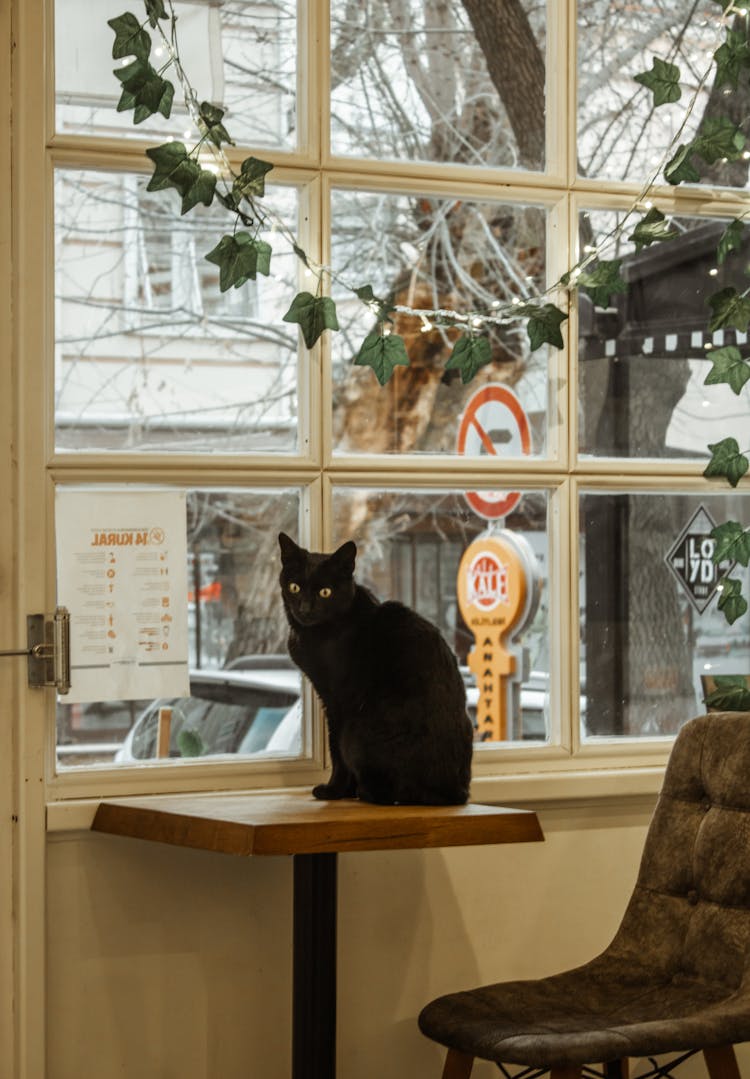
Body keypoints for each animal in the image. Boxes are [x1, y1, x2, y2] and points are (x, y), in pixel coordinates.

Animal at [278, 530, 472, 802]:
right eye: (294, 587)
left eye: (325, 592)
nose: (305, 608)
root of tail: (455, 793)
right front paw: (343, 792)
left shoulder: (338, 702)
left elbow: (336, 752)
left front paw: (334, 791)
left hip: (355, 731)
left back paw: (365, 791)